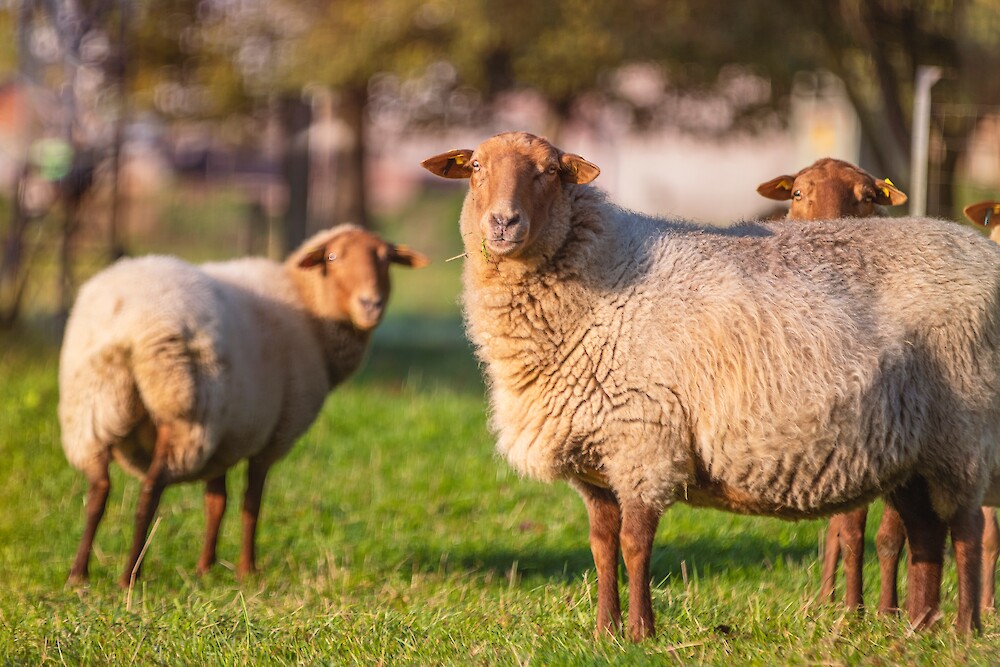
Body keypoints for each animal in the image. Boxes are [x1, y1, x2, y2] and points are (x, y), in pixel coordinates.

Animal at [59, 224, 428, 587]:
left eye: (386, 259)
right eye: (332, 257)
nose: (370, 304)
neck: (309, 310)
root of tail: (125, 324)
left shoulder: (225, 438)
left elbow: (216, 502)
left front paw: (205, 568)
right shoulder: (272, 435)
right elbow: (251, 503)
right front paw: (246, 570)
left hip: (92, 410)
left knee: (98, 490)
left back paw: (79, 574)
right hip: (183, 411)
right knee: (150, 490)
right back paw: (128, 577)